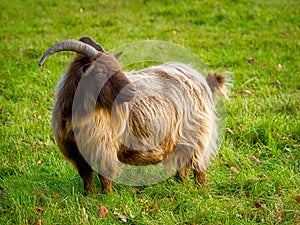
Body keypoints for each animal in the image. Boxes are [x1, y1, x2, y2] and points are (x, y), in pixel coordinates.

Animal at [38, 36, 230, 193]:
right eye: (99, 72)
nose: (131, 91)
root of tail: (199, 79)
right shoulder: (78, 154)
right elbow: (87, 177)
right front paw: (88, 196)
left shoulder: (103, 148)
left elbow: (105, 177)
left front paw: (107, 197)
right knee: (182, 167)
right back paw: (180, 186)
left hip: (196, 136)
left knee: (199, 166)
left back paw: (199, 189)